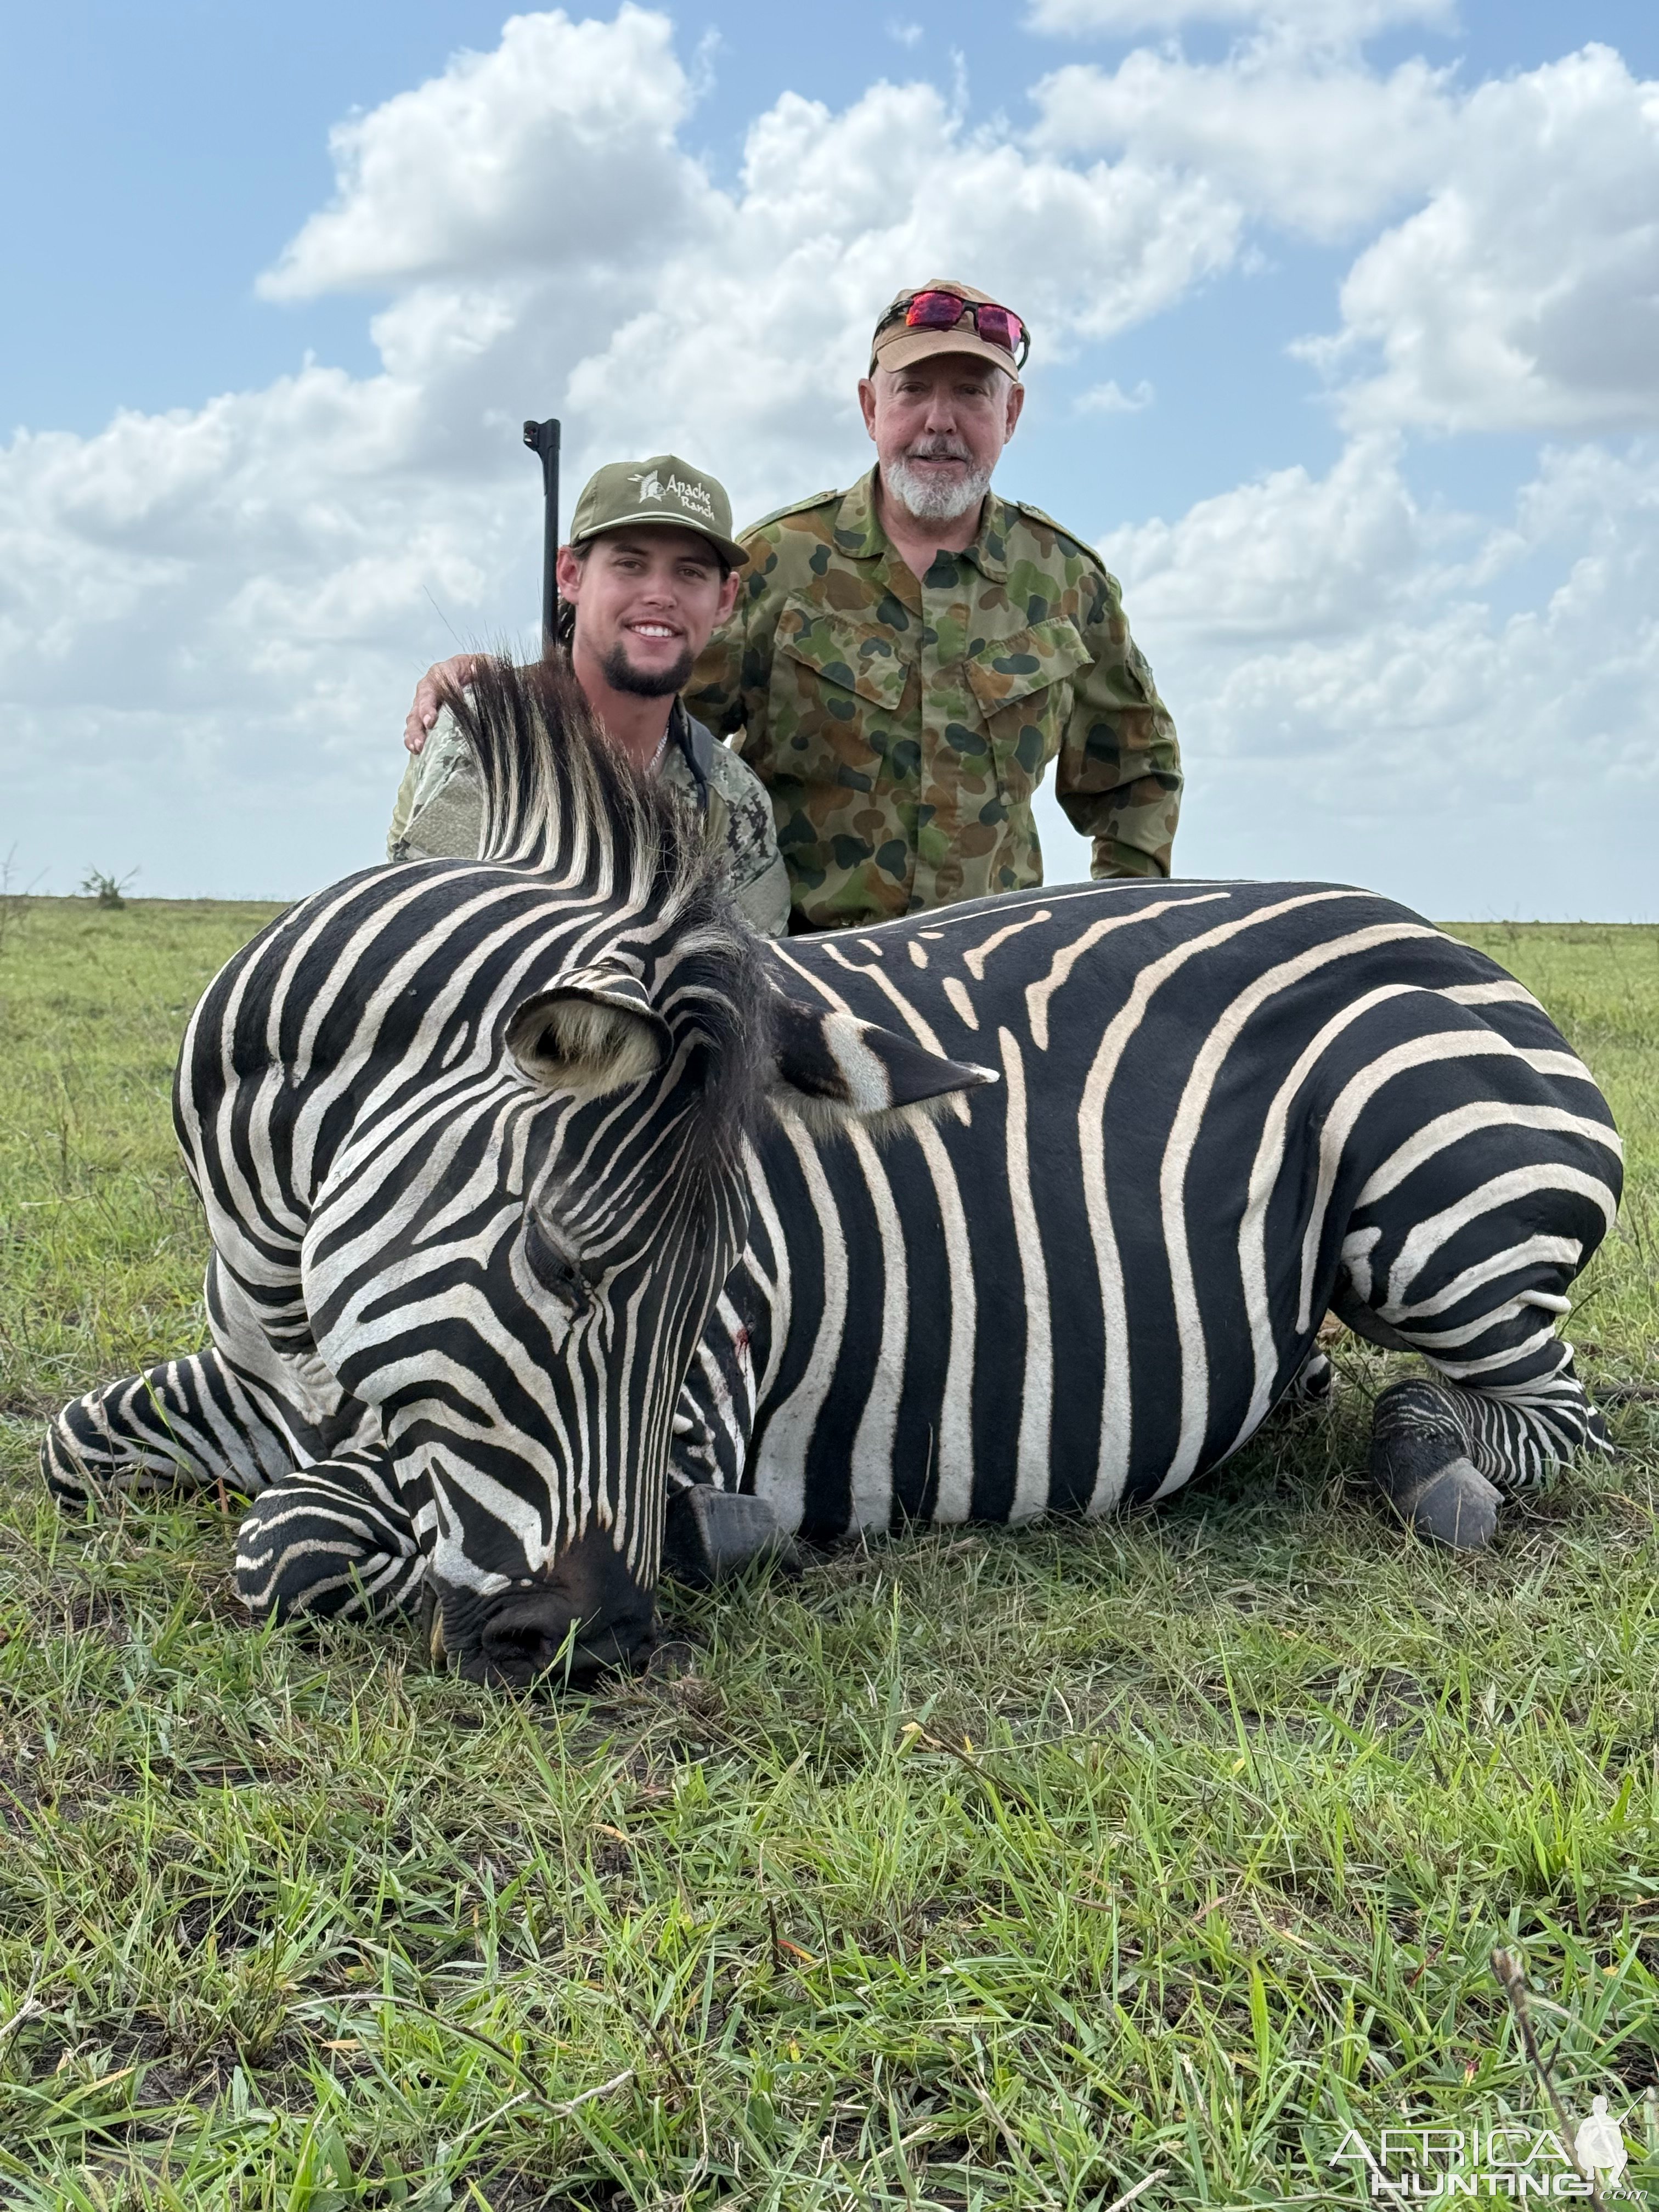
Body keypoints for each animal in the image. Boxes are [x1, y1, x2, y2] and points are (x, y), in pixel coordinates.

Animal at [39, 650, 1628, 1672]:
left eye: (715, 1302)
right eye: (557, 1264)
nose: (599, 1643)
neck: (288, 1245)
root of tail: (1433, 930)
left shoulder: (699, 1417)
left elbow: (294, 1543)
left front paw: (714, 1536)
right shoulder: (265, 1378)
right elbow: (73, 1446)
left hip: (1435, 1207)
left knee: (1548, 1415)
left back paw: (1431, 1464)